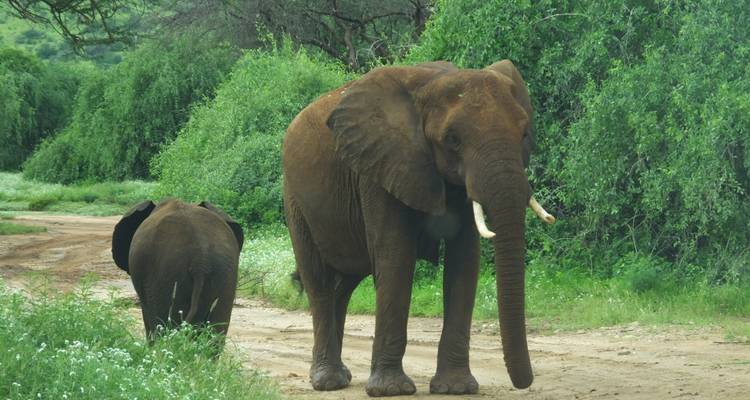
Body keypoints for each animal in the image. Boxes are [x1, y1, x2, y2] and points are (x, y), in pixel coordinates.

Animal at [282, 60, 555, 396]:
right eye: (452, 139)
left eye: (524, 132)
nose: (524, 383)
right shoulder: (379, 167)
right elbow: (396, 256)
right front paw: (391, 390)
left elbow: (465, 261)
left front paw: (456, 388)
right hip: (295, 199)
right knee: (318, 280)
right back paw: (328, 382)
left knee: (342, 286)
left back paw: (342, 376)